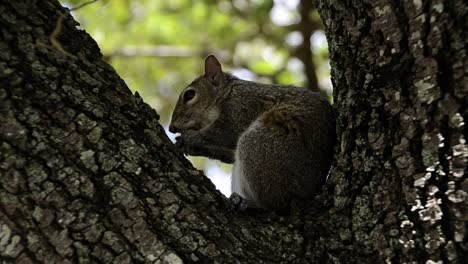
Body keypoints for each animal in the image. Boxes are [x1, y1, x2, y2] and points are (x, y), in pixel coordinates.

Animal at [170, 55, 334, 210]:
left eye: (189, 95)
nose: (171, 128)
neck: (227, 93)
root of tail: (308, 194)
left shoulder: (242, 106)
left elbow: (225, 132)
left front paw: (191, 138)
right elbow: (228, 154)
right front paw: (195, 148)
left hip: (261, 148)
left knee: (276, 203)